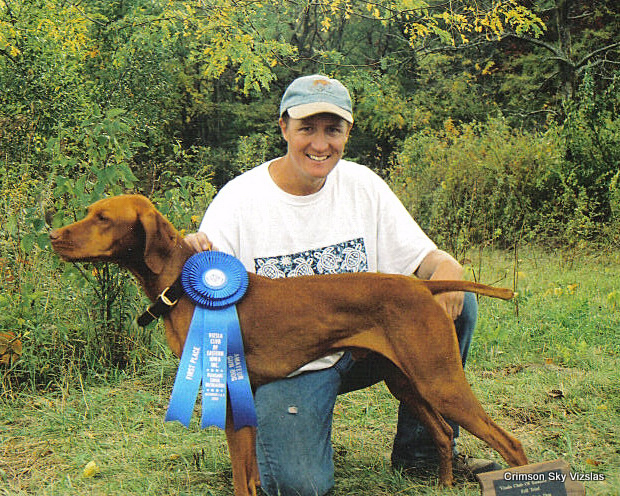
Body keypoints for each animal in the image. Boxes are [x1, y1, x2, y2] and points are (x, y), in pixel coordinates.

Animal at [49, 194, 528, 496]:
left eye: (102, 218)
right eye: (90, 212)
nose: (53, 235)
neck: (183, 286)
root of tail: (421, 286)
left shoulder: (227, 393)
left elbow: (241, 478)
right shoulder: (243, 395)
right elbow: (253, 472)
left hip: (440, 380)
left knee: (511, 444)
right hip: (406, 382)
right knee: (444, 435)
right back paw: (444, 484)